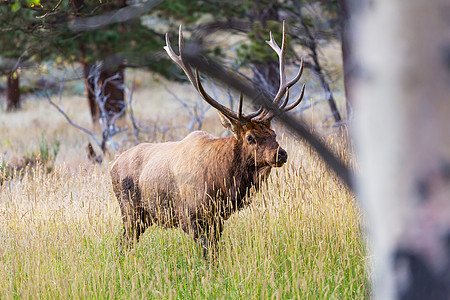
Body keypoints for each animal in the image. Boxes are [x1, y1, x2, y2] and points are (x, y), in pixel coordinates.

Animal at [110, 21, 304, 258]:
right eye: (250, 137)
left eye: (274, 133)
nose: (281, 154)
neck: (224, 181)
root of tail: (112, 165)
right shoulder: (190, 216)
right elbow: (207, 254)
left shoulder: (218, 218)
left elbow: (215, 252)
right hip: (130, 211)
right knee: (122, 243)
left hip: (143, 217)